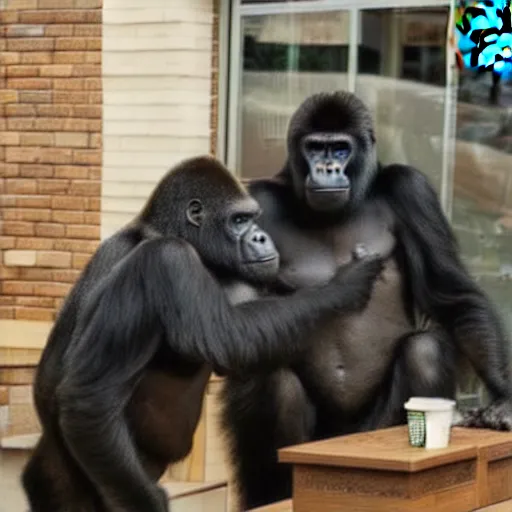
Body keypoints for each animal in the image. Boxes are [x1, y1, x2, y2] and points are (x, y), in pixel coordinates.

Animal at [23, 156, 384, 512]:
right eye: (239, 220)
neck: (157, 229)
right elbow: (91, 396)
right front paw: (345, 285)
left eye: (253, 218)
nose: (261, 237)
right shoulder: (166, 257)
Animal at [221, 90, 512, 510]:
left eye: (341, 148)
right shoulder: (254, 198)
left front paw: (504, 396)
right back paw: (275, 493)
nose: (327, 167)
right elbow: (233, 317)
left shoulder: (412, 191)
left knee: (424, 350)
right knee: (271, 376)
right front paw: (345, 284)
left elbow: (454, 295)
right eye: (315, 147)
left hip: (374, 427)